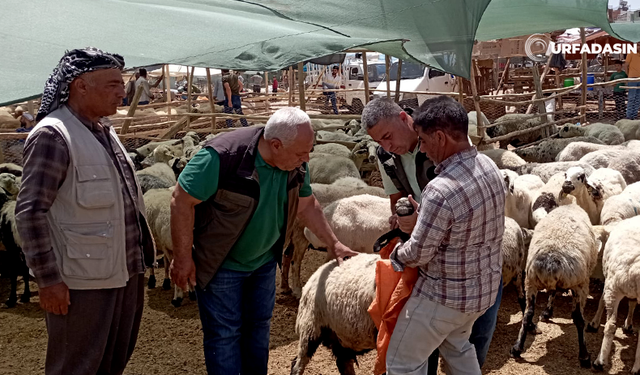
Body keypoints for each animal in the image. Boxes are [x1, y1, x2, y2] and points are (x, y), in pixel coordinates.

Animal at [510, 204, 604, 368]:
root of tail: (551, 261)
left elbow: (552, 294)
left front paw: (547, 312)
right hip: (580, 285)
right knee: (578, 318)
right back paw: (584, 356)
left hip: (530, 282)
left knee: (528, 313)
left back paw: (517, 347)